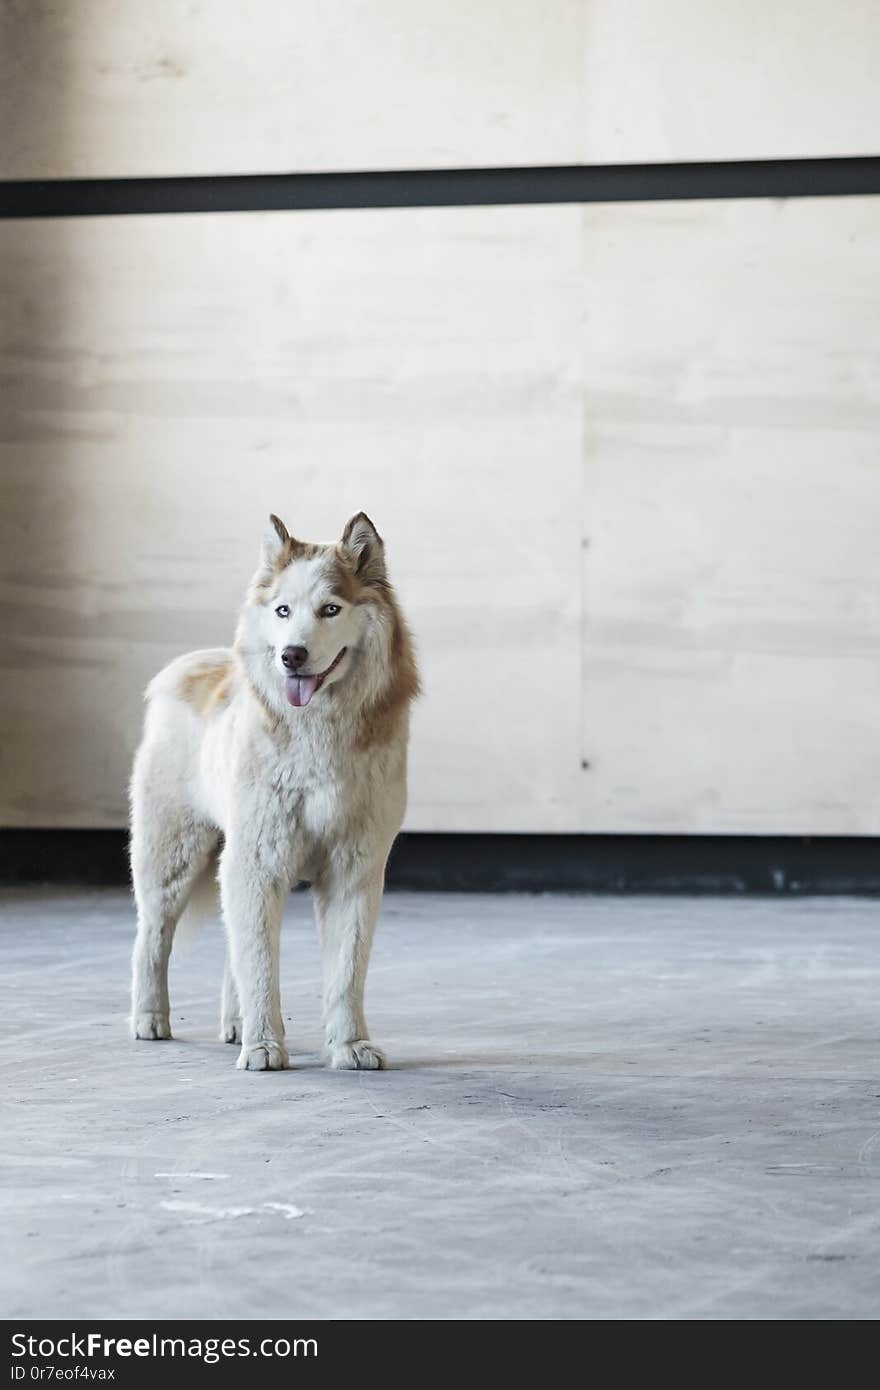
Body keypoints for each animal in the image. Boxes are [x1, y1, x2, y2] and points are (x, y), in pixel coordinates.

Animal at [128, 517, 419, 1067]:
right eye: (283, 610)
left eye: (331, 609)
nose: (292, 656)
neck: (318, 734)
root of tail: (185, 669)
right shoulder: (258, 862)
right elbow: (262, 967)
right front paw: (265, 1046)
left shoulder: (352, 872)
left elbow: (345, 974)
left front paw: (349, 1045)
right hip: (173, 859)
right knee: (152, 936)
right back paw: (150, 1020)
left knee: (229, 949)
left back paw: (235, 1025)